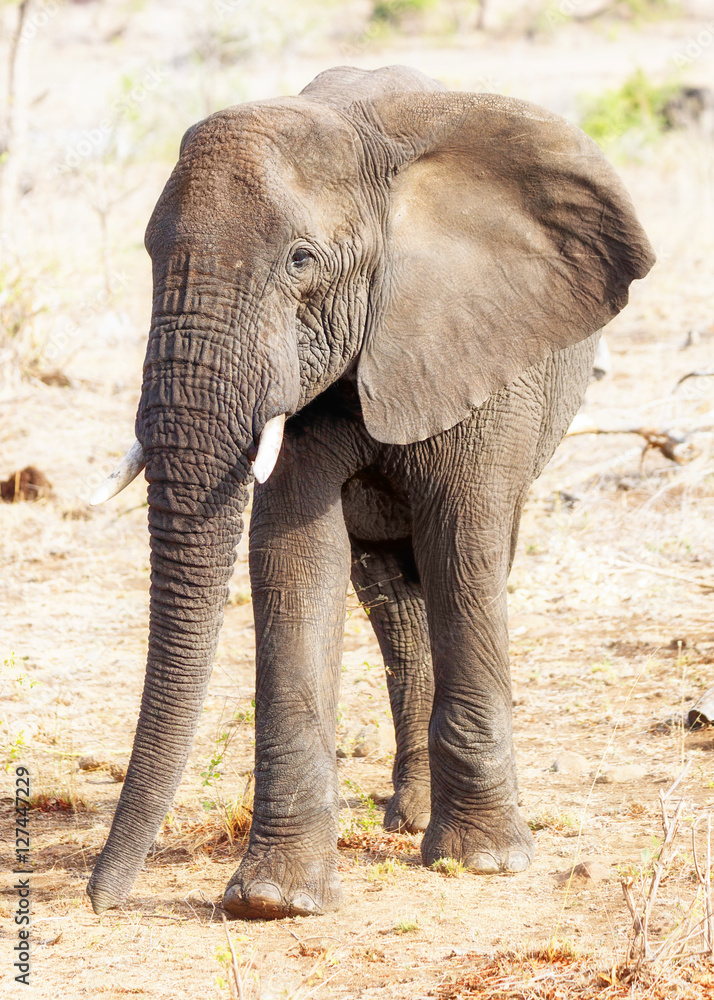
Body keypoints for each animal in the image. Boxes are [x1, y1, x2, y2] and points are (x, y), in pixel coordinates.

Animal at [86, 65, 654, 920]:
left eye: (301, 259)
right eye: (151, 253)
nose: (100, 897)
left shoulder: (480, 338)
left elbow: (465, 546)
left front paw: (483, 863)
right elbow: (294, 559)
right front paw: (275, 901)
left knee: (465, 561)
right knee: (391, 592)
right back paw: (408, 813)